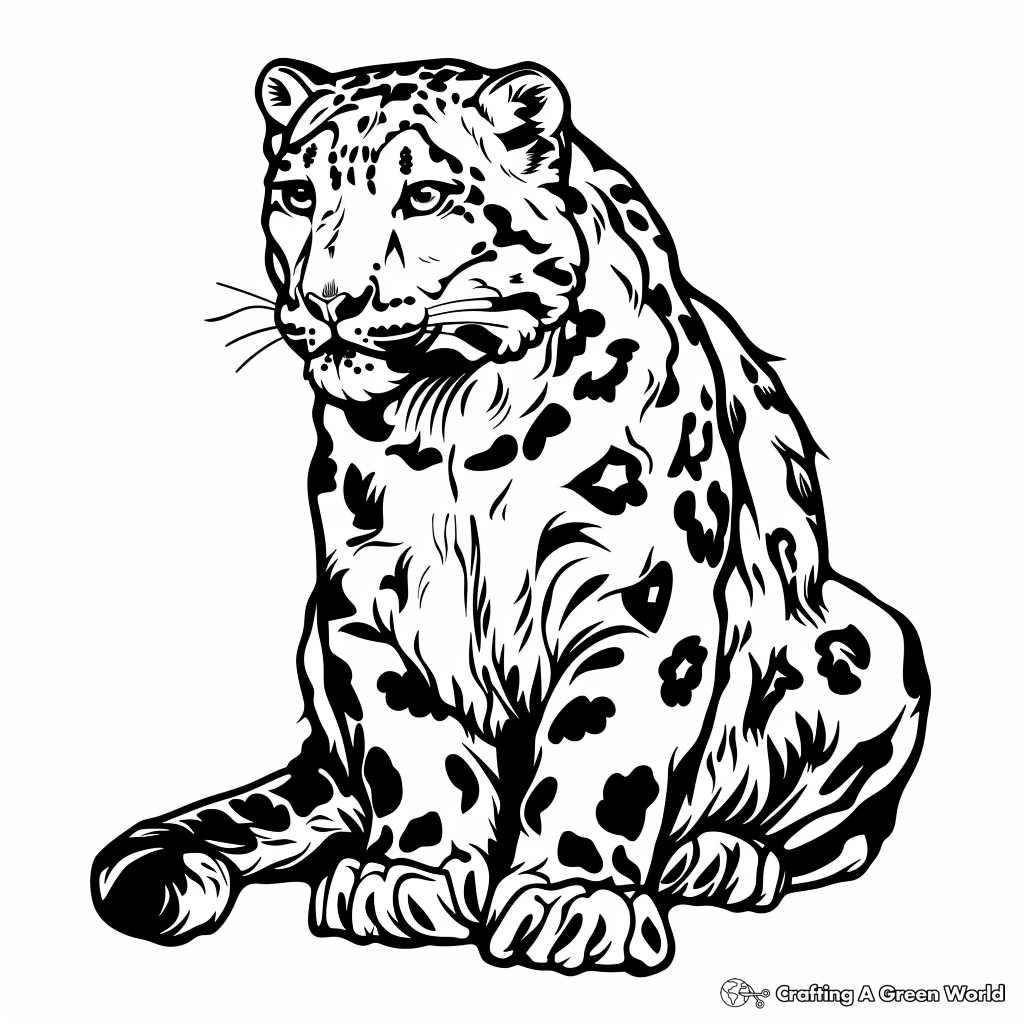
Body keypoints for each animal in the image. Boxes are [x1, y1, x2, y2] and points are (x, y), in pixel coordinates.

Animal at [91, 58, 930, 976]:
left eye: (424, 195)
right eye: (299, 194)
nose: (329, 299)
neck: (449, 426)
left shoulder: (639, 599)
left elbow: (604, 749)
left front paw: (575, 900)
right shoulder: (370, 602)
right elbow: (409, 747)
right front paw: (407, 878)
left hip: (876, 644)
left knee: (833, 838)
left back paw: (719, 854)